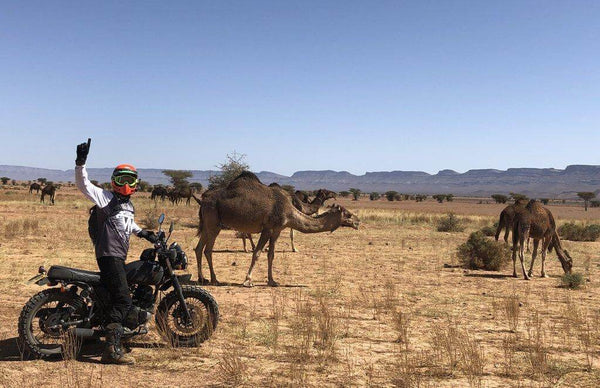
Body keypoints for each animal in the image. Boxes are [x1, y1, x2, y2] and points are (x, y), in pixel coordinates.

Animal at [195, 171, 358, 286]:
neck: (289, 209)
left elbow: (271, 255)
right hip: (214, 223)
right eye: (348, 214)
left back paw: (202, 278)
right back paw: (214, 279)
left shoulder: (277, 230)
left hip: (208, 225)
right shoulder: (267, 228)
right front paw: (248, 280)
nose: (358, 221)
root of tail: (203, 200)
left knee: (198, 248)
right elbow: (257, 253)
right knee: (208, 250)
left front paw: (272, 281)